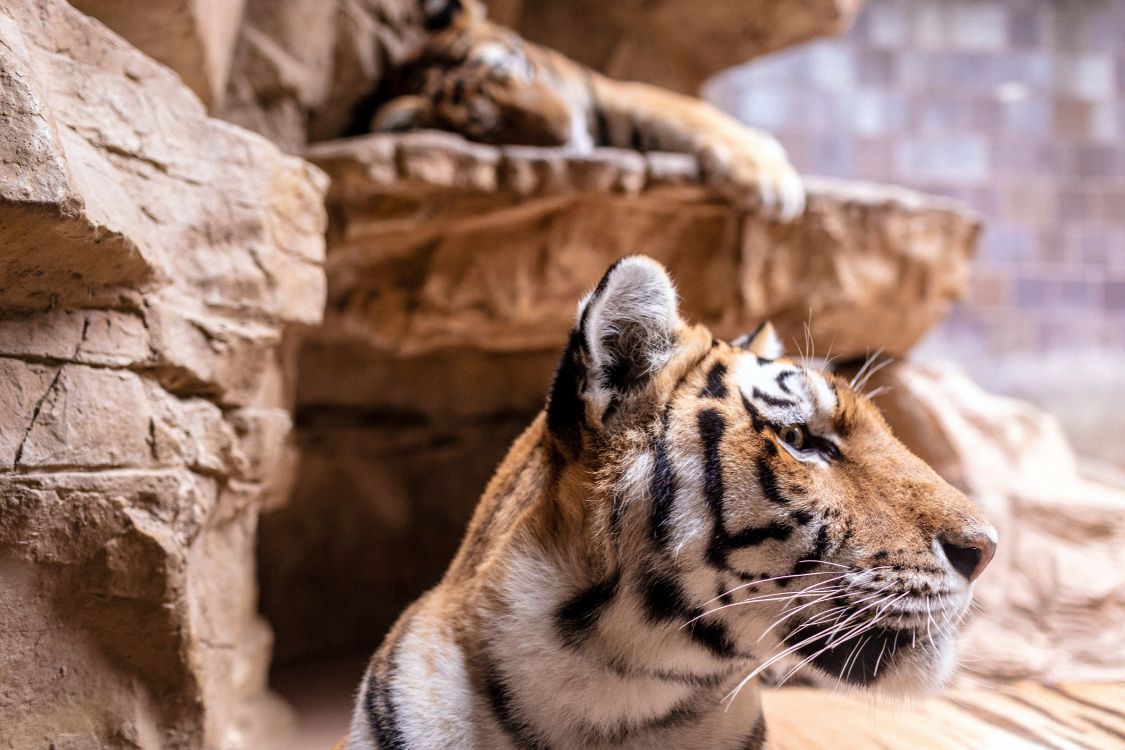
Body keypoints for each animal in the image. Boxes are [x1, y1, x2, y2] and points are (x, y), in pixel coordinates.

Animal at [364, 0, 806, 220]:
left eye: (516, 71)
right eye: (489, 126)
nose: (568, 130)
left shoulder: (616, 94)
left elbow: (697, 115)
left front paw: (775, 184)